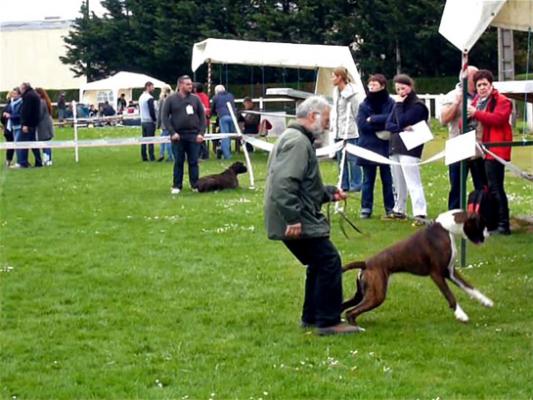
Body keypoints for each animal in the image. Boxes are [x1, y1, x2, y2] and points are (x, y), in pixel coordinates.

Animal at [342, 209, 492, 332]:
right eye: (481, 224)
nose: (488, 234)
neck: (446, 228)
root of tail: (366, 263)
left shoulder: (450, 272)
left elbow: (469, 287)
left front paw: (486, 301)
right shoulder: (437, 274)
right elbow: (450, 296)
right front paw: (461, 315)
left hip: (363, 294)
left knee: (345, 306)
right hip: (376, 296)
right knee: (350, 312)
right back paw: (356, 328)